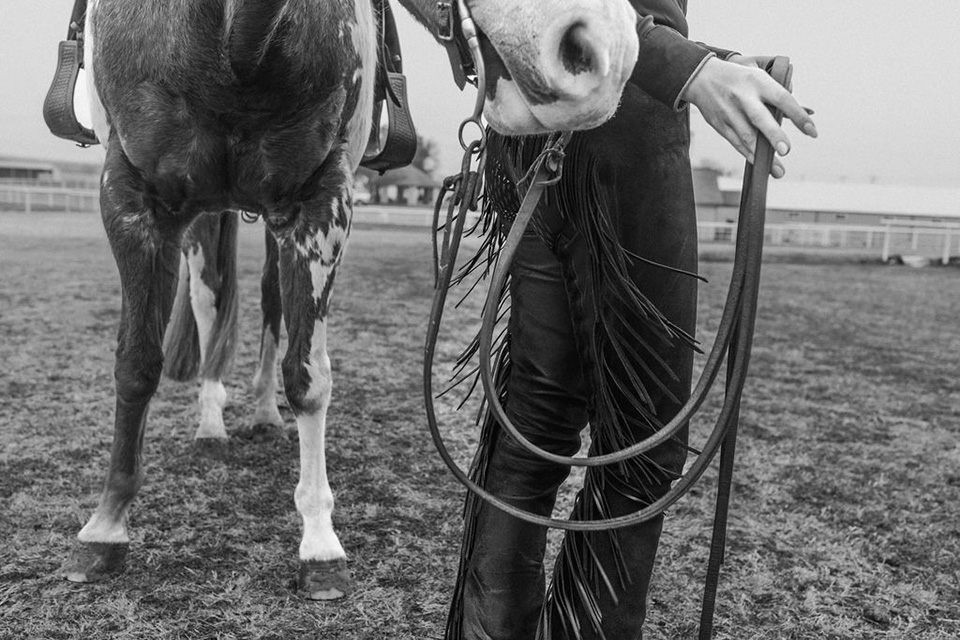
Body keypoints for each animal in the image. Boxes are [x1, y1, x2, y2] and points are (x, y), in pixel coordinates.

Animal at [63, 0, 640, 600]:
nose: (601, 45)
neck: (229, 43)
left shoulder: (321, 204)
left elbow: (308, 377)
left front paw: (319, 543)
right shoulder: (131, 201)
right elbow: (136, 366)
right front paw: (104, 527)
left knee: (271, 305)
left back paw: (263, 412)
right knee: (207, 302)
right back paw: (211, 422)